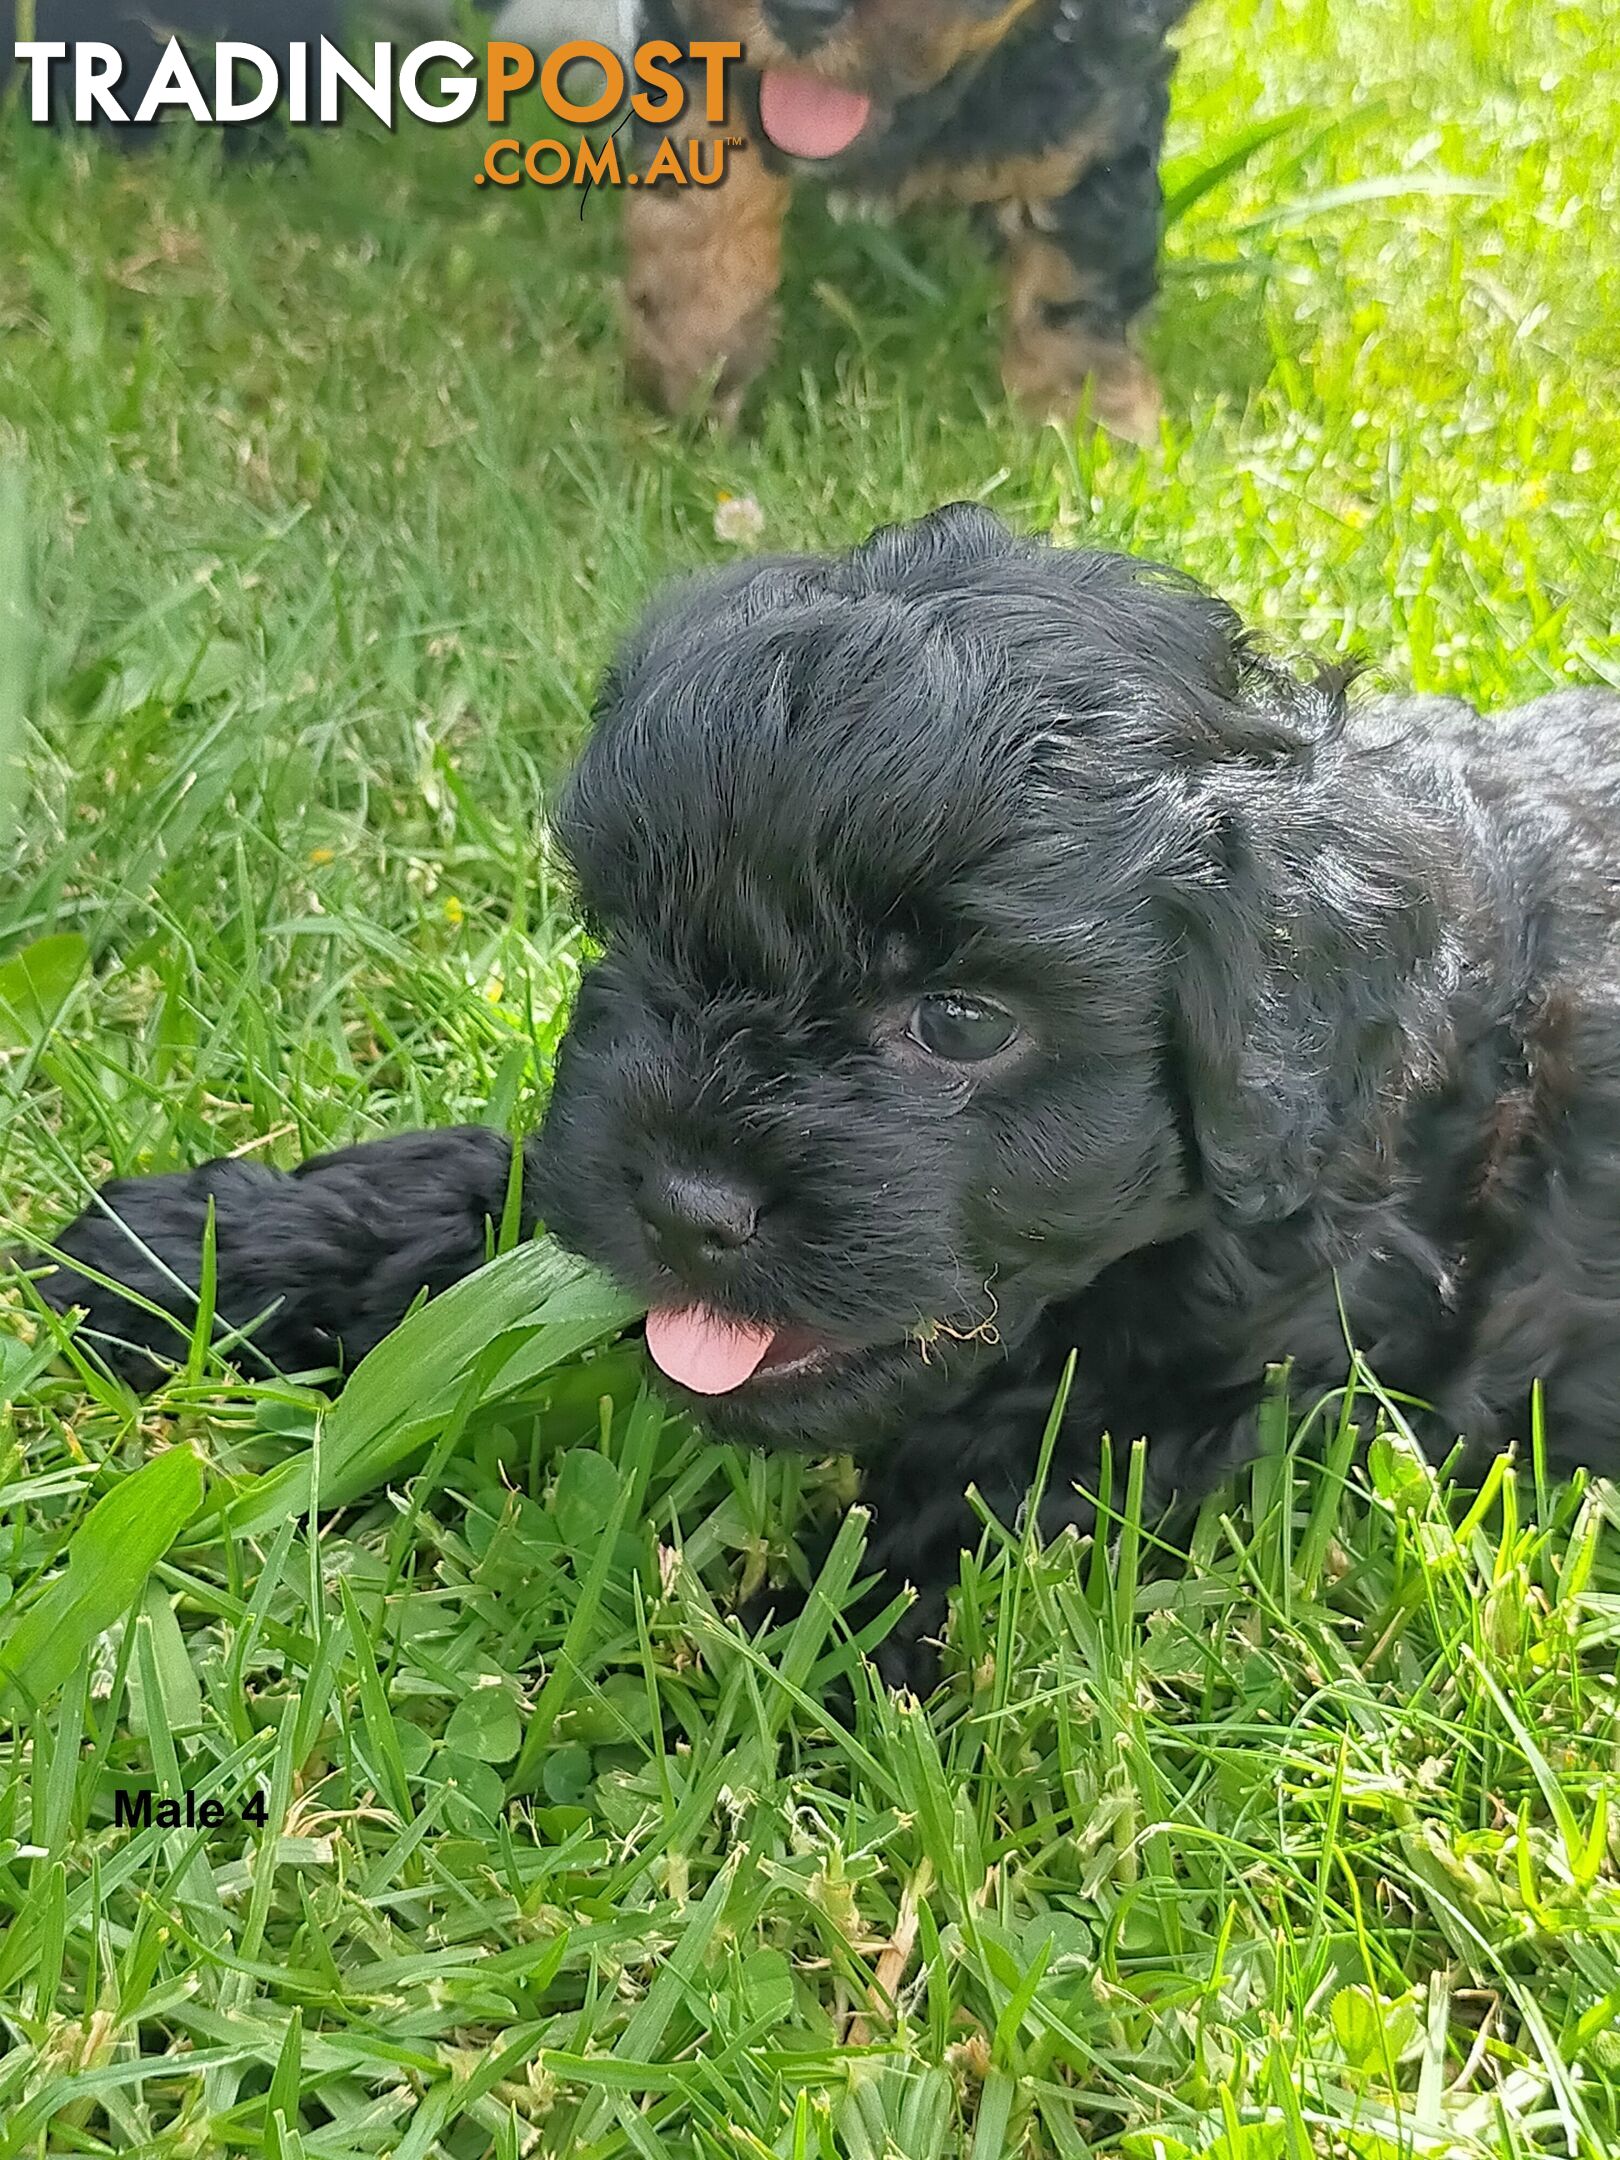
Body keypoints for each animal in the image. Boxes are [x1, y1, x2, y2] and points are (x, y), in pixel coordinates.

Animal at [34, 509, 1620, 1684]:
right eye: (641, 941)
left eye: (964, 1021)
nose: (688, 1208)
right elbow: (497, 1196)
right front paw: (200, 1251)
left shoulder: (1295, 1361)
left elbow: (1018, 1487)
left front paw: (781, 1675)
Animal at [626, 0, 1183, 438]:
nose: (802, 12)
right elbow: (698, 206)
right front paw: (697, 364)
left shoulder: (1091, 126)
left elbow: (1073, 286)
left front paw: (1086, 429)